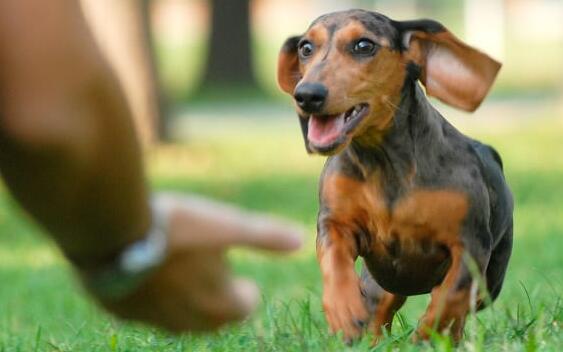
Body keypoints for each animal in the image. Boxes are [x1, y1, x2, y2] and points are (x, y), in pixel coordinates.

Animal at [278, 9, 516, 346]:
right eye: (305, 48)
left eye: (364, 46)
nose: (307, 95)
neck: (385, 163)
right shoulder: (335, 223)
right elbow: (335, 262)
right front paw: (344, 310)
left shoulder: (470, 244)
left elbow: (450, 296)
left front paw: (427, 337)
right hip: (379, 283)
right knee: (380, 310)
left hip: (490, 284)